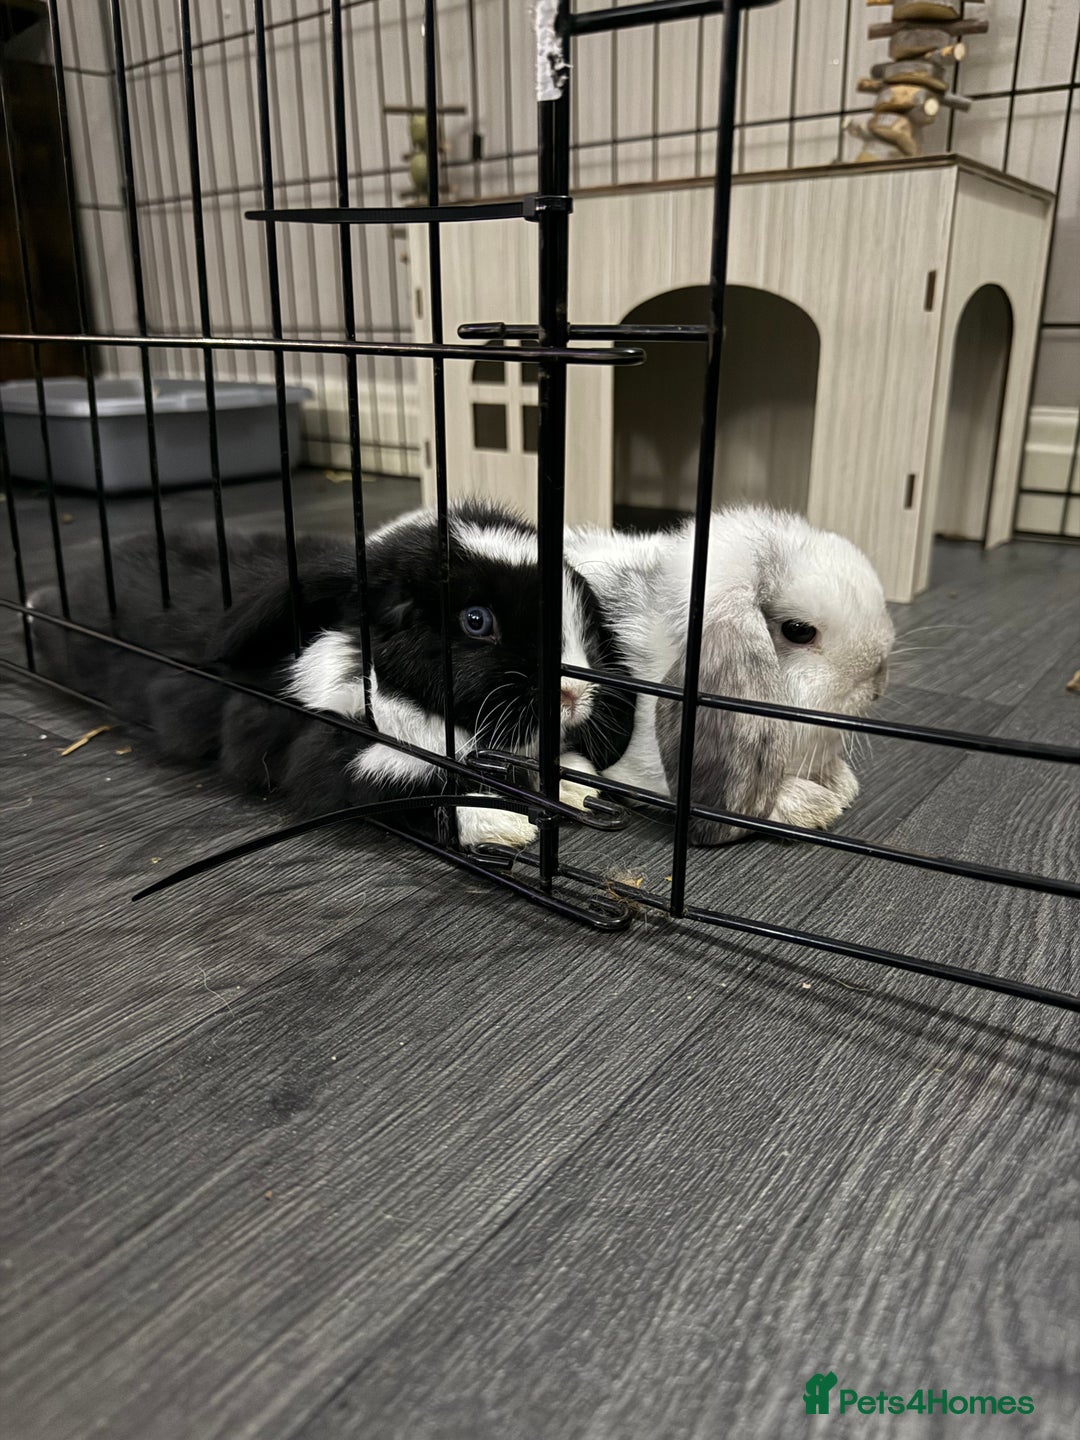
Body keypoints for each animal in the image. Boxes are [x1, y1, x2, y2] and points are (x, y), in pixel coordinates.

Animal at [28, 501, 637, 851]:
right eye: (476, 620)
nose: (575, 694)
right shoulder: (333, 751)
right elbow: (417, 785)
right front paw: (506, 827)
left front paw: (586, 791)